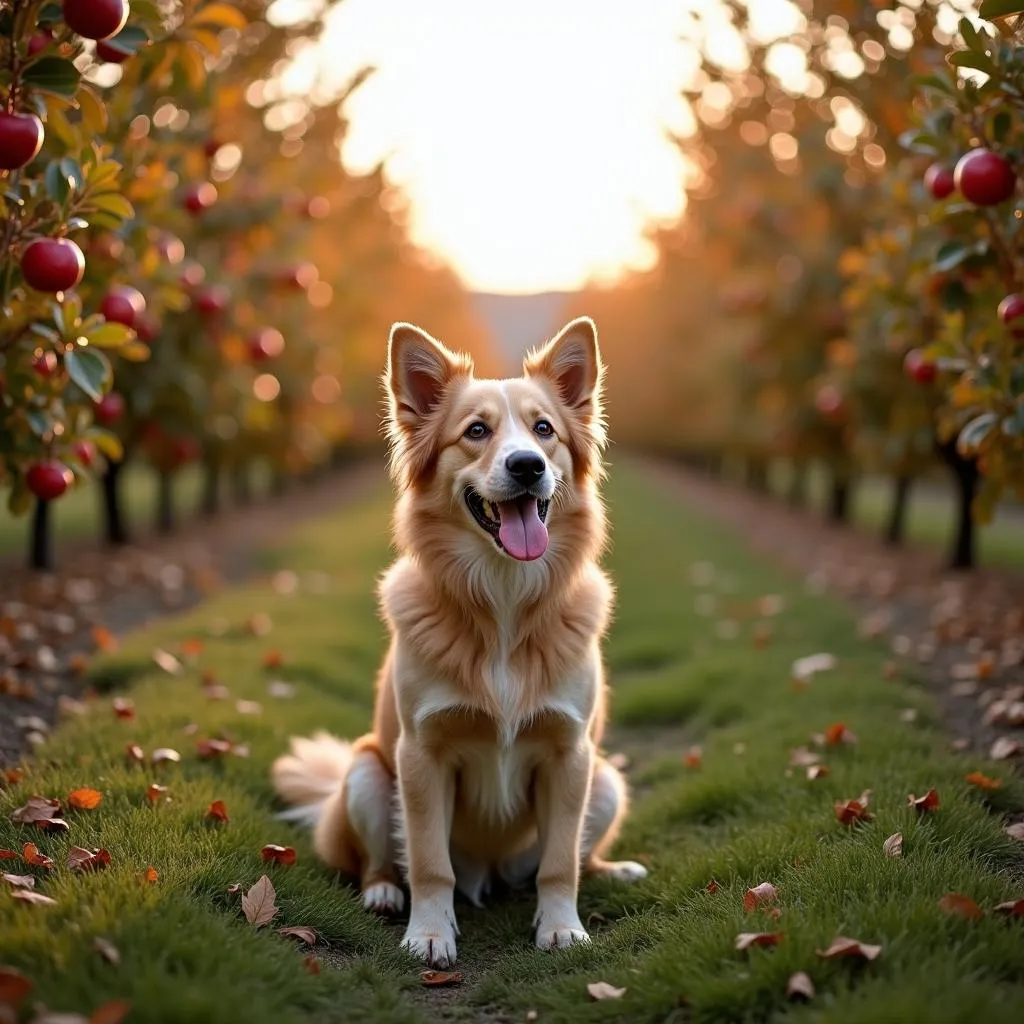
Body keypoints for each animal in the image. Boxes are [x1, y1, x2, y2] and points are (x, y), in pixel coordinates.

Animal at [268, 313, 643, 966]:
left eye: (544, 429)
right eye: (476, 431)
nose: (527, 466)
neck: (503, 600)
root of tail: (488, 877)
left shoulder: (571, 754)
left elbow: (560, 864)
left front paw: (561, 927)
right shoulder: (421, 754)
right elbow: (428, 862)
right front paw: (429, 933)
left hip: (607, 781)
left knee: (571, 858)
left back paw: (610, 870)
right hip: (366, 773)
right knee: (379, 861)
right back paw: (384, 894)